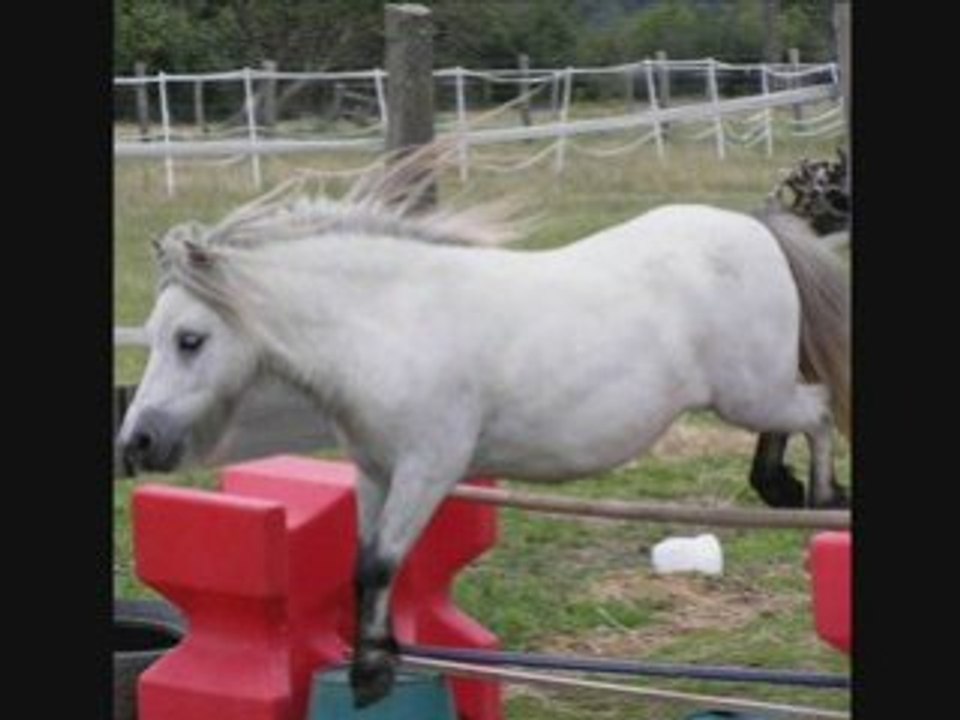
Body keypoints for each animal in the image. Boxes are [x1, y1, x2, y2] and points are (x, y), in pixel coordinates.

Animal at [118, 143, 850, 708]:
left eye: (189, 339)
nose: (136, 443)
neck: (388, 324)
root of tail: (755, 229)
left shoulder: (429, 466)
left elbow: (381, 562)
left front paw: (370, 676)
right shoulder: (375, 472)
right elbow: (365, 564)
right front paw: (379, 655)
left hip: (751, 392)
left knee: (816, 411)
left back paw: (816, 496)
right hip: (753, 391)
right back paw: (781, 489)